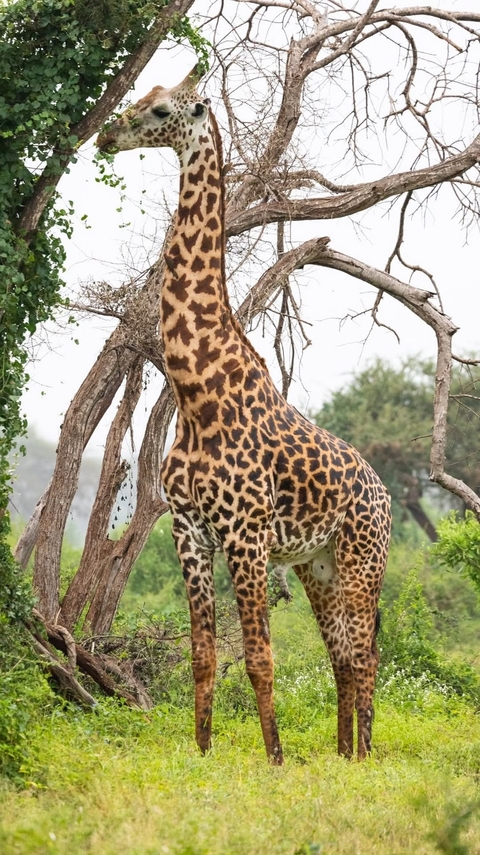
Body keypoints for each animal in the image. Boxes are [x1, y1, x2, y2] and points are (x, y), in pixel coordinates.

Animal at [97, 65, 391, 764]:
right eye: (142, 96)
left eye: (164, 110)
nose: (106, 134)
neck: (196, 393)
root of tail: (386, 493)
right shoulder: (189, 531)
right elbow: (203, 656)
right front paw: (203, 755)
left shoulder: (246, 534)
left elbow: (259, 658)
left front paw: (276, 761)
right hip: (317, 563)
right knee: (343, 655)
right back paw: (343, 754)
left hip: (364, 558)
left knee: (366, 654)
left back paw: (365, 756)